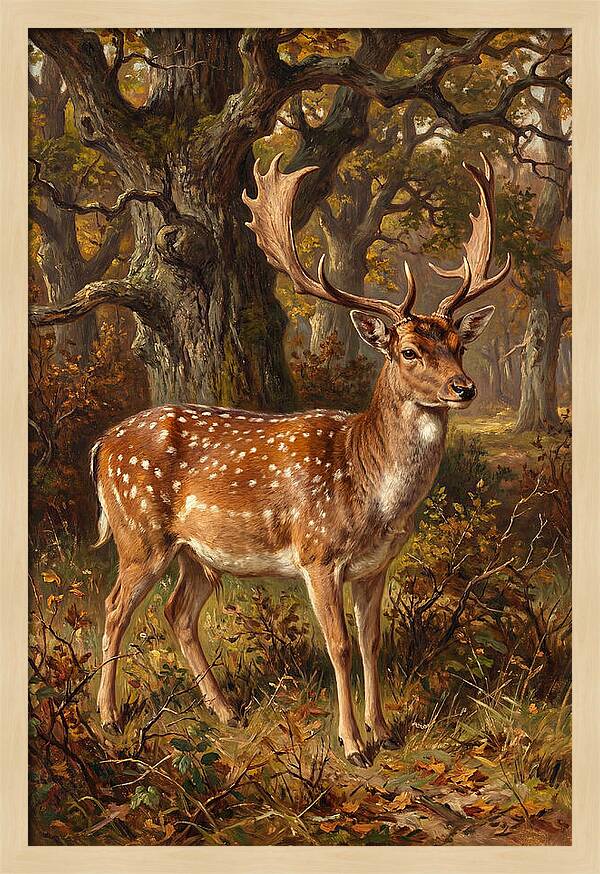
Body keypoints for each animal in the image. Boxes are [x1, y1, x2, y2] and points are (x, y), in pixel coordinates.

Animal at [91, 153, 510, 767]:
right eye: (409, 351)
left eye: (459, 345)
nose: (465, 387)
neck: (371, 488)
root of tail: (102, 445)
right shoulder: (318, 555)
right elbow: (338, 645)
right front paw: (353, 744)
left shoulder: (376, 565)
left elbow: (372, 641)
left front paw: (385, 731)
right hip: (138, 534)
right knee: (115, 607)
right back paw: (108, 715)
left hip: (198, 555)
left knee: (177, 614)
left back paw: (226, 710)